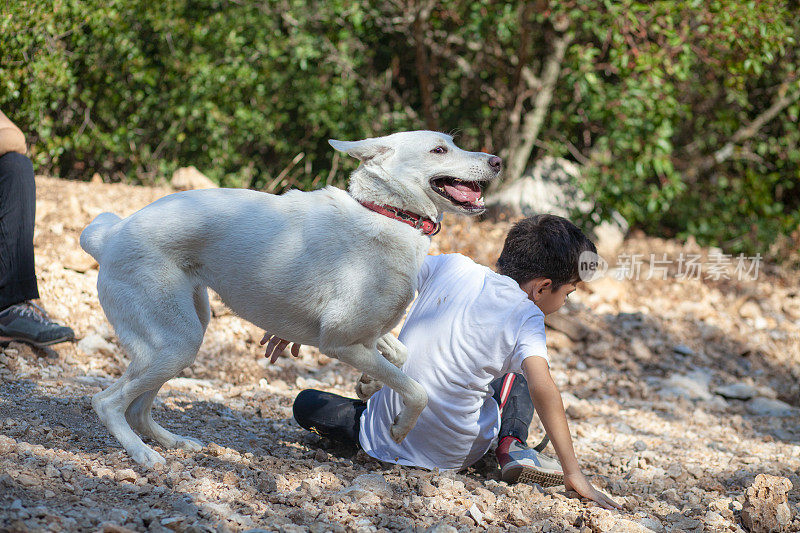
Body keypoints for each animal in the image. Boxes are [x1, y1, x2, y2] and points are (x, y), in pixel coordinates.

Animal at [78, 130, 496, 466]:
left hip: (181, 336)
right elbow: (417, 390)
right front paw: (399, 429)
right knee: (107, 403)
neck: (389, 214)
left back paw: (174, 442)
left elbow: (399, 356)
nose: (497, 161)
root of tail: (109, 235)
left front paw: (367, 386)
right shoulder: (341, 342)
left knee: (138, 410)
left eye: (454, 142)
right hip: (174, 342)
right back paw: (143, 455)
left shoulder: (367, 336)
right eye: (439, 149)